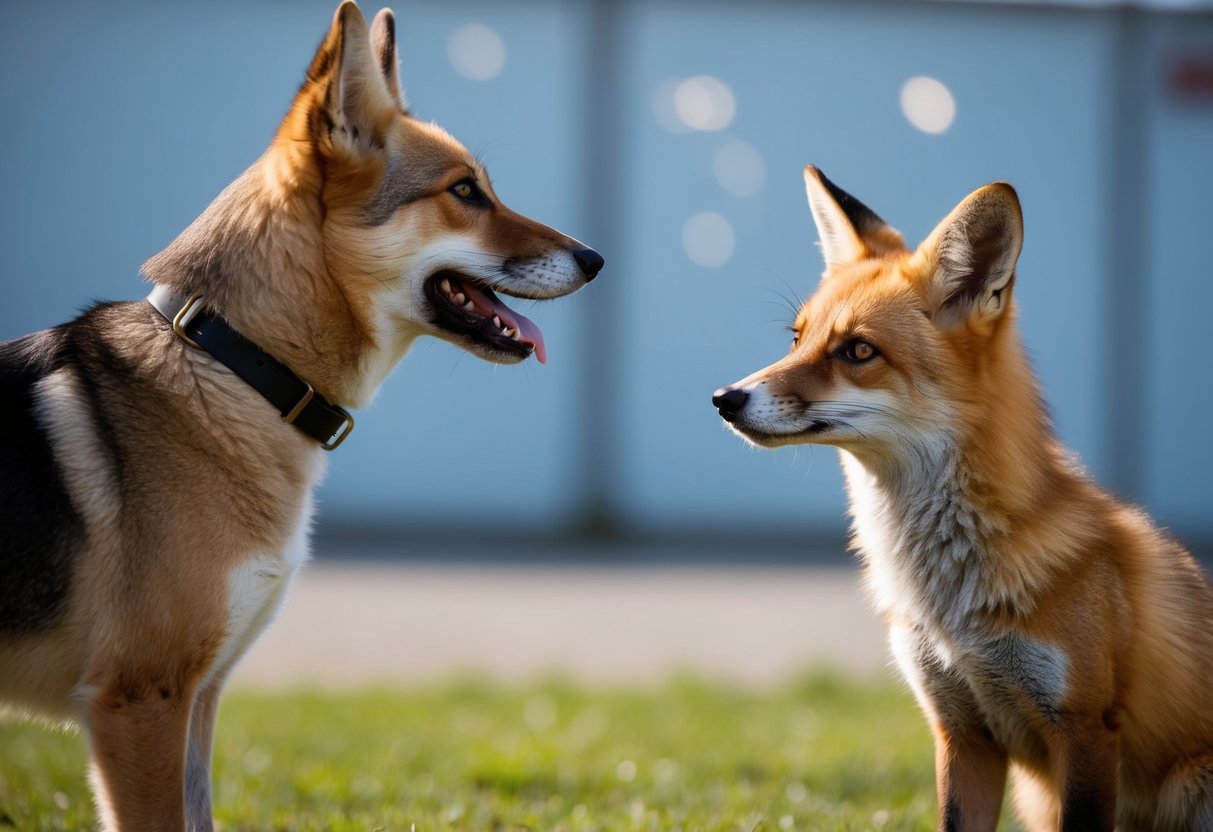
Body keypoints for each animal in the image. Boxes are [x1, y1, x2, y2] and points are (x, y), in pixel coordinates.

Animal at [712, 166, 1213, 830]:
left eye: (858, 351)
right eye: (797, 339)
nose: (724, 398)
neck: (953, 604)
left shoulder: (1084, 728)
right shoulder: (959, 729)